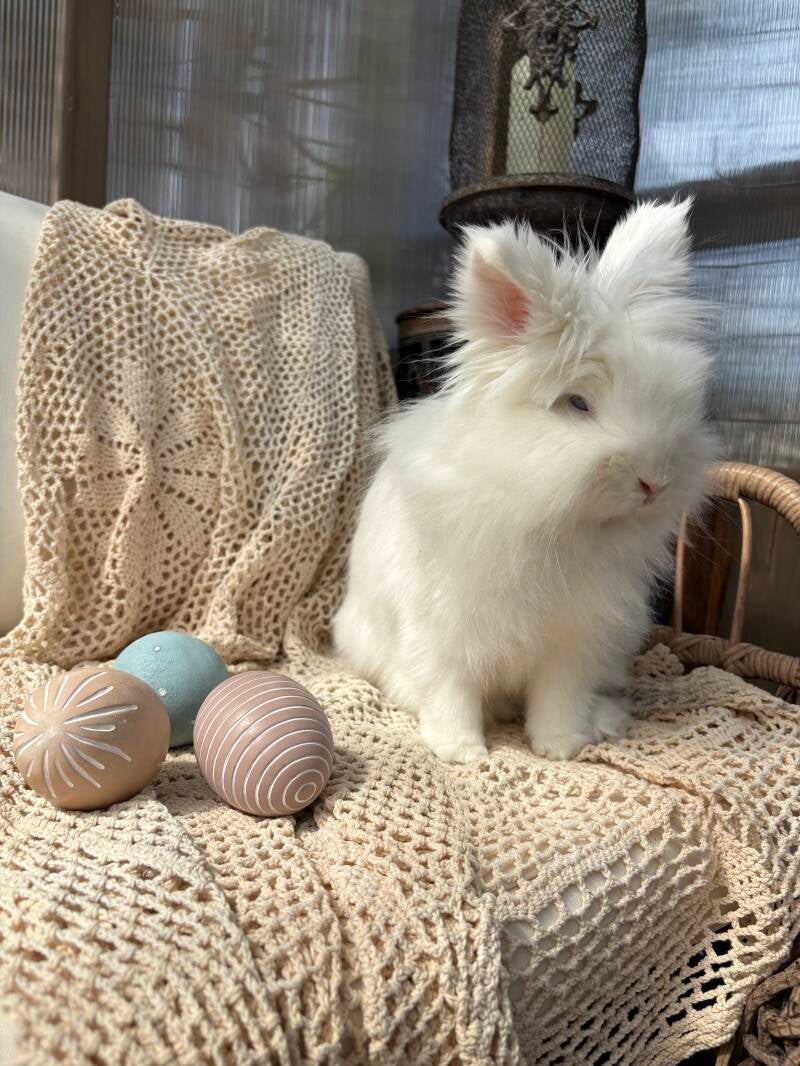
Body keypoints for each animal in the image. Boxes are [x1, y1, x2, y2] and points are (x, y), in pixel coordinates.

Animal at [334, 199, 715, 763]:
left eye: (669, 397)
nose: (654, 480)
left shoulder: (575, 640)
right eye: (576, 403)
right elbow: (450, 688)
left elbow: (559, 697)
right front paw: (461, 752)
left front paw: (562, 747)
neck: (547, 518)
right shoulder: (444, 627)